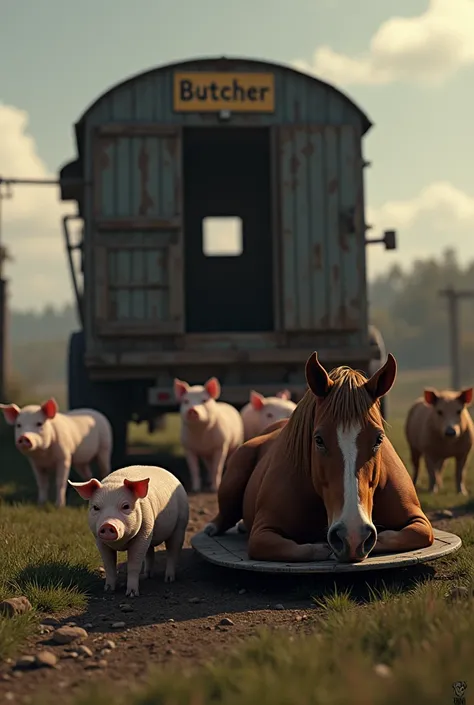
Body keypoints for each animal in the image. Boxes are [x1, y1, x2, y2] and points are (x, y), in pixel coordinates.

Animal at [69, 464, 188, 596]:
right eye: (96, 507)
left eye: (125, 506)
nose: (107, 525)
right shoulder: (100, 541)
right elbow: (109, 565)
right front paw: (108, 590)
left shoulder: (142, 535)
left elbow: (133, 564)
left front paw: (132, 594)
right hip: (150, 532)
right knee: (150, 551)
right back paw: (146, 576)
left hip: (180, 525)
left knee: (173, 551)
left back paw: (169, 579)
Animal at [206, 350, 436, 560]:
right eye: (318, 440)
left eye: (379, 438)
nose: (352, 535)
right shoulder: (262, 533)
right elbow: (302, 549)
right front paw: (323, 548)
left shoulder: (420, 522)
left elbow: (396, 536)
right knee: (225, 515)